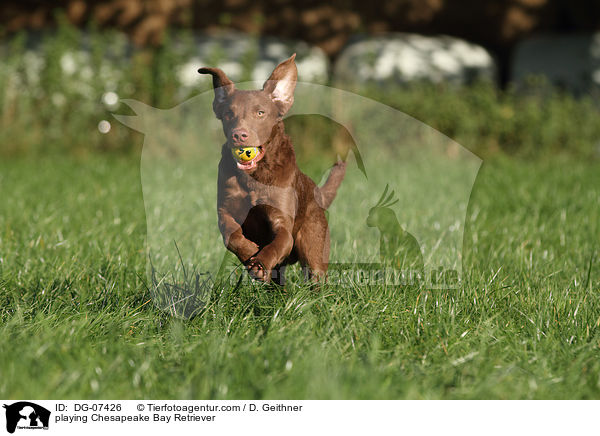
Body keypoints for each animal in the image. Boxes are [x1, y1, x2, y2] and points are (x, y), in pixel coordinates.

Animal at [198, 54, 344, 284]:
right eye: (229, 114)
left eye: (260, 113)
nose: (239, 135)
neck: (253, 176)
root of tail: (317, 195)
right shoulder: (225, 211)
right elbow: (231, 235)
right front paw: (250, 251)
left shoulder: (281, 221)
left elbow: (278, 243)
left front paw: (259, 264)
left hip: (314, 249)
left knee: (316, 275)